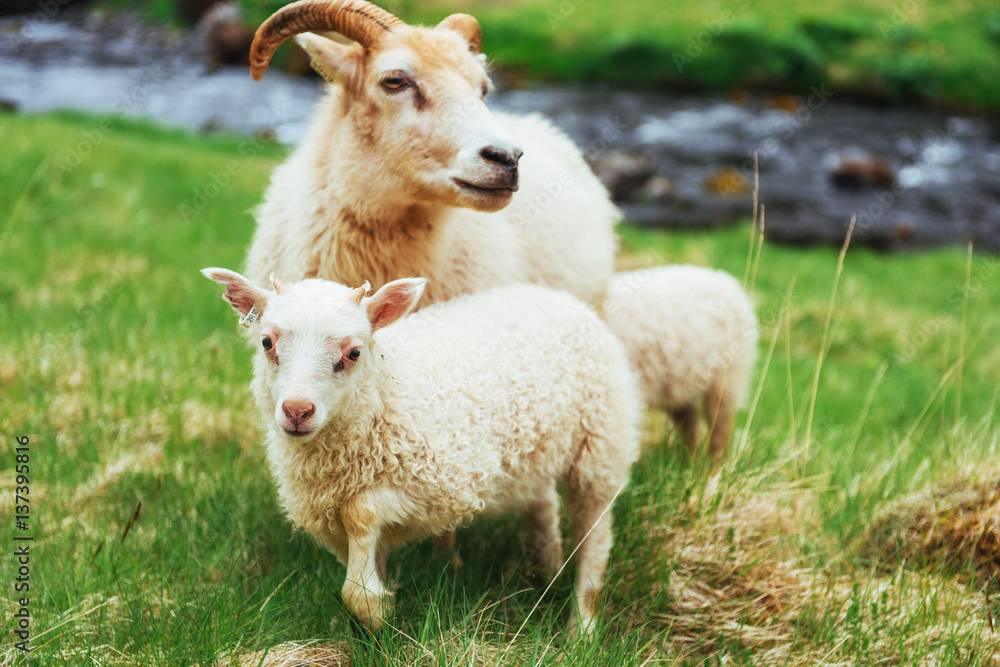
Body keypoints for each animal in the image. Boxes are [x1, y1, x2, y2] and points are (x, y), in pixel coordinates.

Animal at [201, 268, 640, 636]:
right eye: (266, 342)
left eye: (354, 353)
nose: (296, 411)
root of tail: (557, 297)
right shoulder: (328, 514)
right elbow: (363, 549)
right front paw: (373, 614)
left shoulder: (441, 488)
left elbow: (360, 512)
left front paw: (373, 606)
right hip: (533, 454)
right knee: (543, 502)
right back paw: (548, 568)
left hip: (600, 447)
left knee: (596, 535)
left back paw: (581, 625)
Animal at [600, 266, 756, 464]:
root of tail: (726, 280)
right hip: (680, 383)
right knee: (690, 421)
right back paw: (686, 464)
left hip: (727, 377)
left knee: (720, 425)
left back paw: (713, 467)